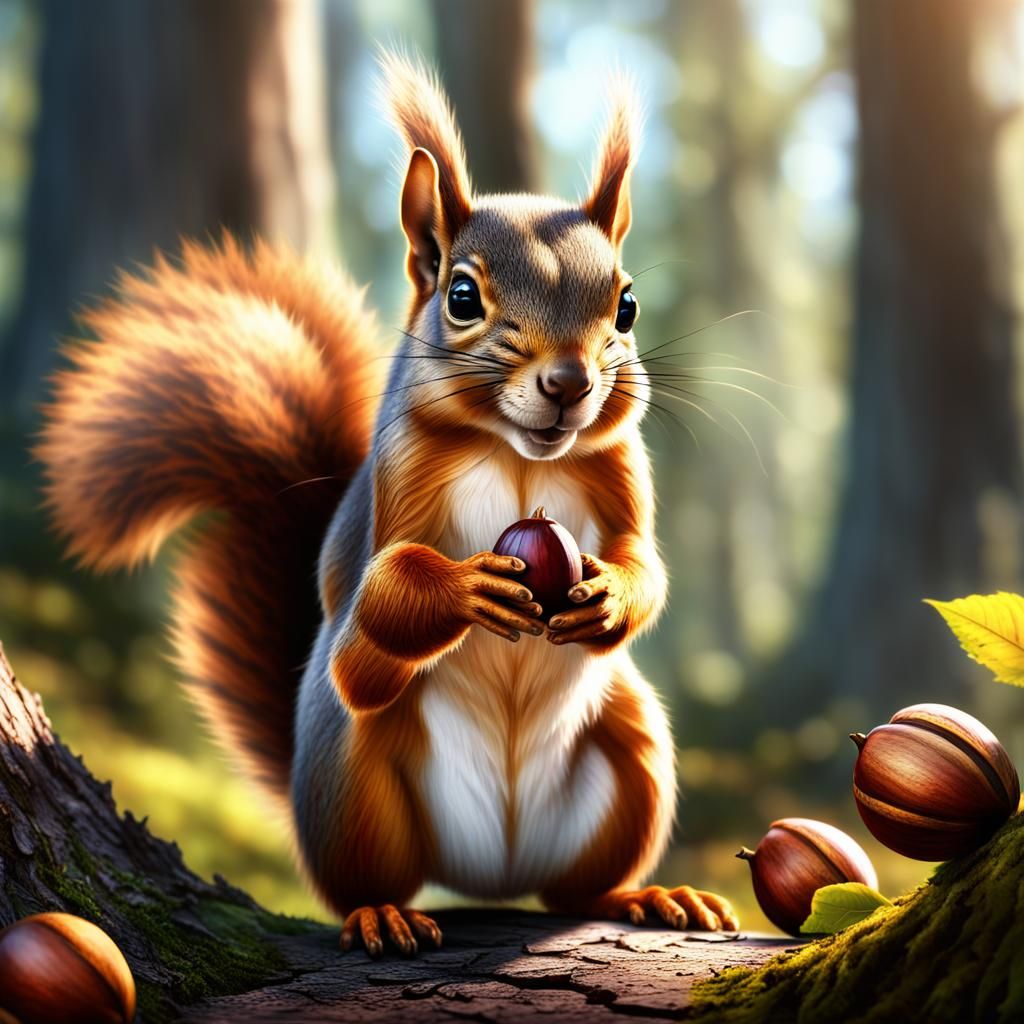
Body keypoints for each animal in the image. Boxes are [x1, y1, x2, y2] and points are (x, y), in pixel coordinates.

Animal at [37, 54, 739, 956]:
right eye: (462, 297)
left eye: (626, 305)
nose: (569, 383)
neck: (517, 456)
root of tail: (488, 872)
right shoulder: (397, 480)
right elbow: (379, 597)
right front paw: (465, 588)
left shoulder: (623, 473)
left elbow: (645, 563)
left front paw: (610, 595)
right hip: (355, 778)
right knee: (364, 857)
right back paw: (382, 913)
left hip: (634, 750)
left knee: (579, 888)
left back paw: (647, 896)